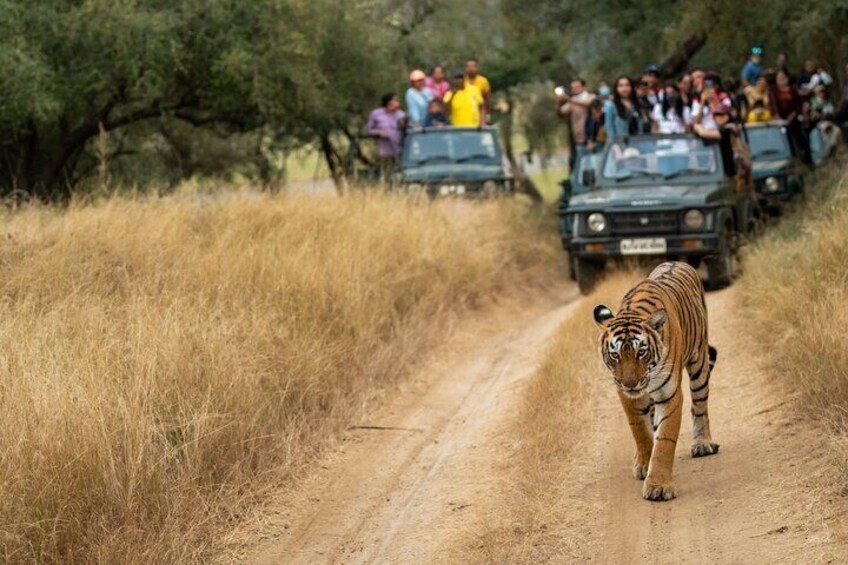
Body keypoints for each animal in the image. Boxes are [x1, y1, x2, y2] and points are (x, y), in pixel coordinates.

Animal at [593, 261, 719, 501]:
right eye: (615, 355)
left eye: (641, 352)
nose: (630, 384)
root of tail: (678, 262)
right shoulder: (627, 397)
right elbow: (640, 432)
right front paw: (644, 464)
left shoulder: (669, 394)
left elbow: (665, 440)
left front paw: (658, 486)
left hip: (699, 363)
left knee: (699, 406)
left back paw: (703, 444)